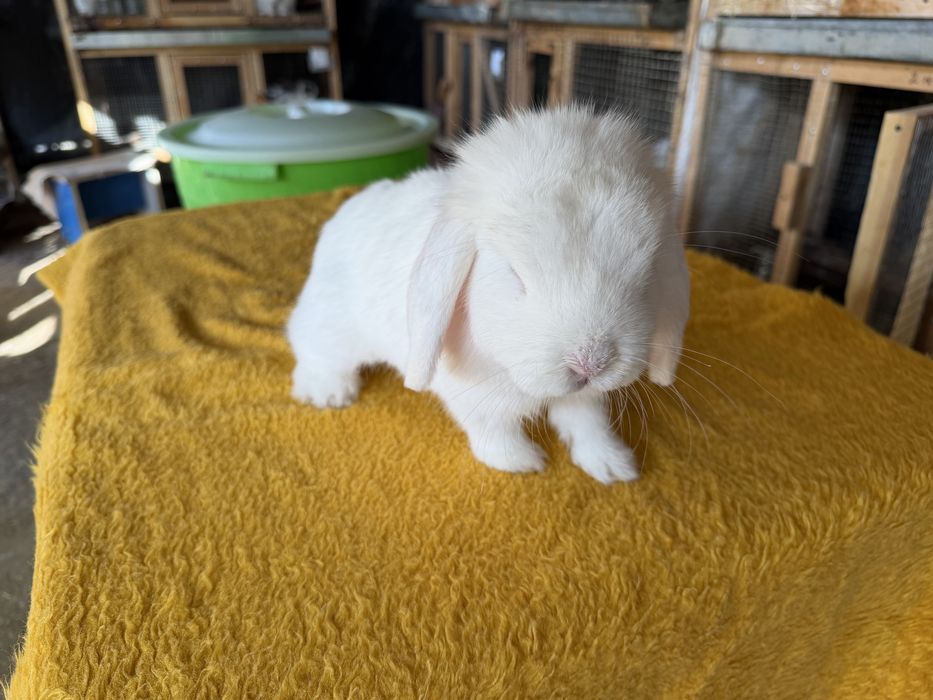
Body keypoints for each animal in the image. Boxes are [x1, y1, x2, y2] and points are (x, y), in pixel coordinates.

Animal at [287, 105, 690, 484]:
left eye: (645, 270)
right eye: (515, 274)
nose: (590, 364)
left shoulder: (584, 399)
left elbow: (587, 422)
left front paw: (613, 465)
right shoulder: (472, 395)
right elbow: (493, 429)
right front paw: (522, 462)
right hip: (333, 325)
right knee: (309, 346)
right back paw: (329, 392)